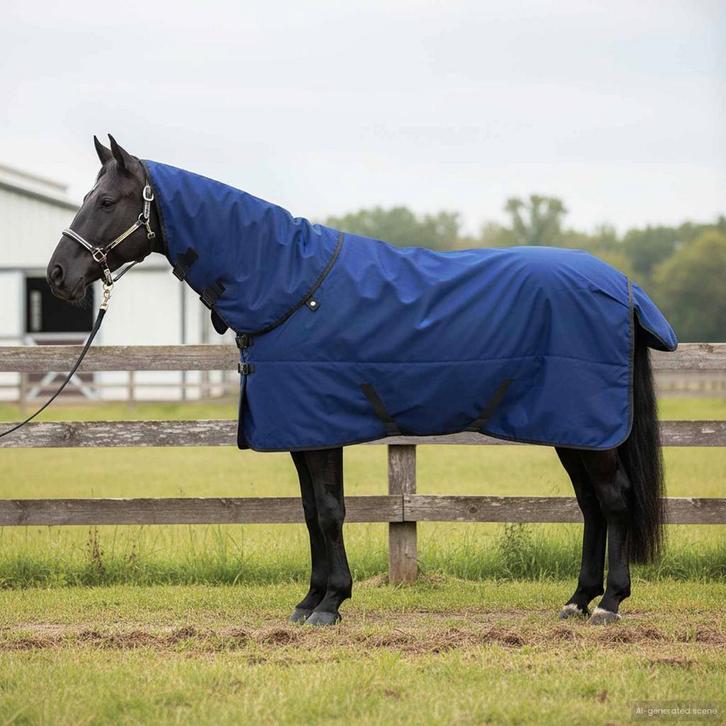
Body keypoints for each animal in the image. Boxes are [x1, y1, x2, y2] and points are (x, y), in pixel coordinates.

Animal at [46, 135, 676, 626]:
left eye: (106, 200)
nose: (57, 275)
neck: (290, 285)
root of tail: (623, 287)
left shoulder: (320, 429)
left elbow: (329, 511)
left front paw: (331, 604)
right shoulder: (301, 433)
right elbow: (309, 512)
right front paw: (310, 601)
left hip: (586, 428)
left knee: (614, 500)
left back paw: (609, 604)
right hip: (573, 430)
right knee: (591, 505)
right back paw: (577, 600)